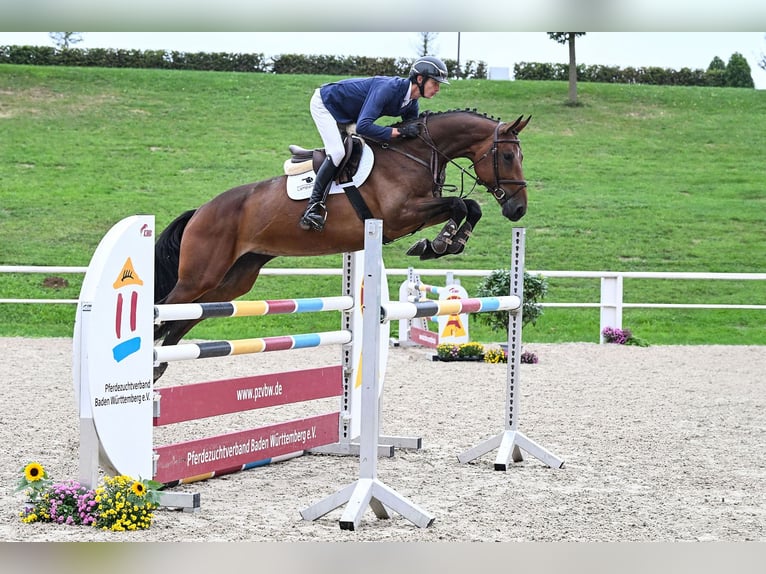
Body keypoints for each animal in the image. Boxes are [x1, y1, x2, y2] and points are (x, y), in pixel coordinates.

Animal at [153, 109, 532, 382]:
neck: (415, 153)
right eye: (507, 156)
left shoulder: (414, 213)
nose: (518, 209)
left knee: (183, 318)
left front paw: (443, 243)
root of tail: (201, 210)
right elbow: (459, 205)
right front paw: (438, 242)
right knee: (165, 311)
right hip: (200, 277)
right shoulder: (400, 215)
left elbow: (470, 206)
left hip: (232, 282)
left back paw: (159, 365)